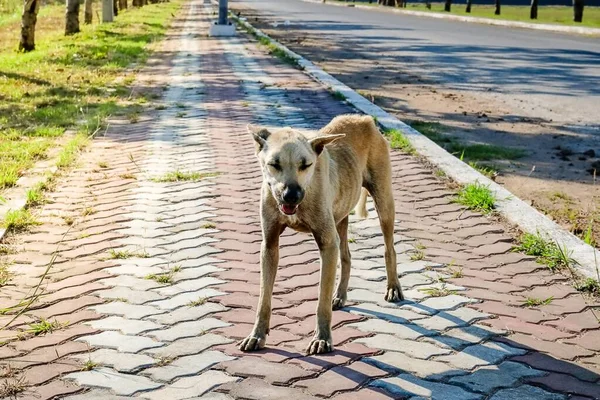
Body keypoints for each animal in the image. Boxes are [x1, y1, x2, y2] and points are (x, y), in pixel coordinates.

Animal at [239, 114, 404, 354]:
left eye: (306, 165)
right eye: (274, 164)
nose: (291, 196)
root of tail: (364, 119)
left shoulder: (327, 243)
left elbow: (321, 302)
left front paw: (322, 338)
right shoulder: (269, 245)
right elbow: (264, 299)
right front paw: (257, 335)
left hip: (384, 204)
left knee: (389, 248)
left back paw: (393, 288)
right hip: (340, 219)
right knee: (346, 257)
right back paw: (340, 295)